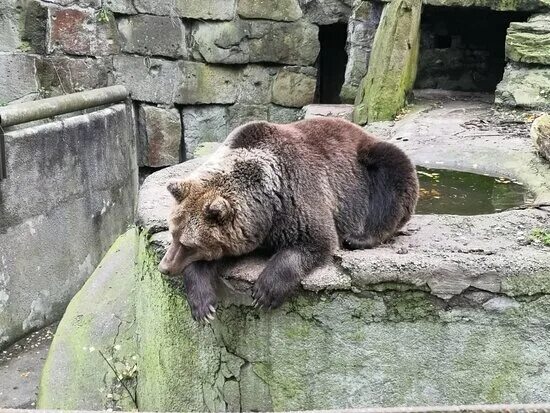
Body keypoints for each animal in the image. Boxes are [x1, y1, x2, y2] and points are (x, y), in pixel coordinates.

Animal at [157, 116, 420, 322]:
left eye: (189, 244)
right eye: (174, 234)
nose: (164, 267)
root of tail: (361, 130)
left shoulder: (298, 197)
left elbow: (315, 241)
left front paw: (264, 292)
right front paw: (203, 305)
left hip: (366, 165)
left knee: (393, 173)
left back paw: (360, 238)